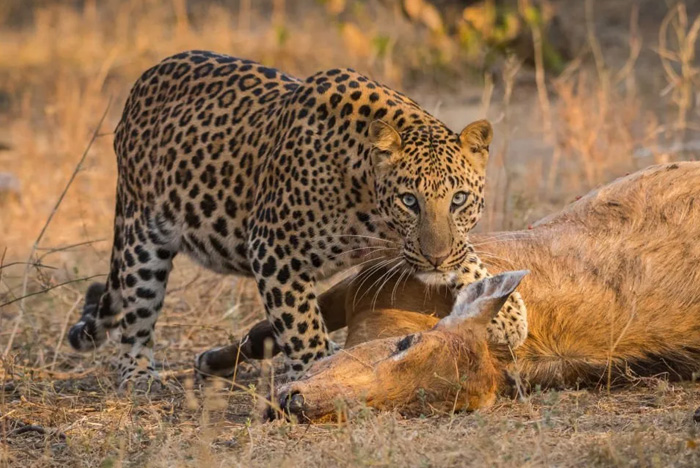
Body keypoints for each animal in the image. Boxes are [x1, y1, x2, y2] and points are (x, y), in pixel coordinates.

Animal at [67, 50, 527, 391]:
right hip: (141, 237)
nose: (435, 259)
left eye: (459, 199)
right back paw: (139, 376)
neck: (367, 200)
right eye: (409, 201)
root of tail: (145, 79)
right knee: (135, 315)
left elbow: (468, 257)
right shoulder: (273, 249)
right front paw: (319, 375)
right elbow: (303, 327)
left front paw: (509, 313)